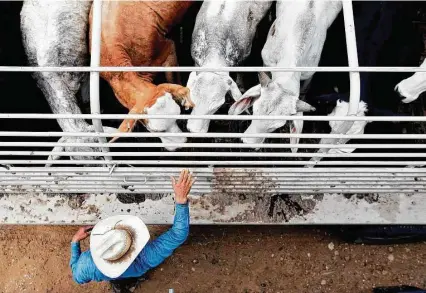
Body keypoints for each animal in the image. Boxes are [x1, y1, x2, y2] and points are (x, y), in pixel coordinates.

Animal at [228, 0, 342, 149]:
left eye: (275, 127)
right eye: (254, 110)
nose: (248, 143)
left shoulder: (308, 73)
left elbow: (304, 90)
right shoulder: (267, 62)